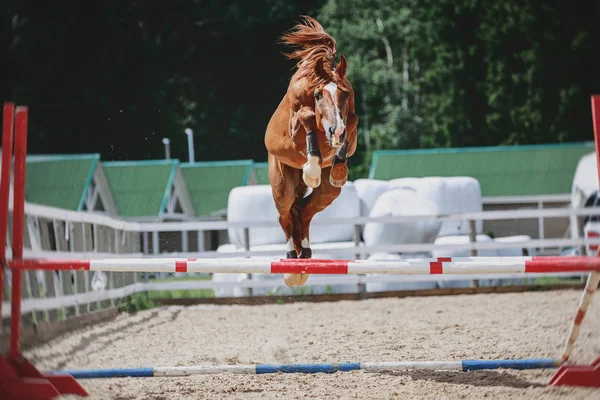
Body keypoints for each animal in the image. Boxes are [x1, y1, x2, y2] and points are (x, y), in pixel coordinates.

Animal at [264, 16, 358, 288]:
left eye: (344, 93)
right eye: (318, 95)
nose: (335, 131)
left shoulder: (349, 117)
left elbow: (352, 121)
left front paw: (338, 168)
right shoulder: (296, 122)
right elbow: (305, 117)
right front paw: (312, 169)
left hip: (328, 194)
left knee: (304, 212)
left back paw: (305, 254)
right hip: (282, 185)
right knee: (286, 215)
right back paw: (291, 261)